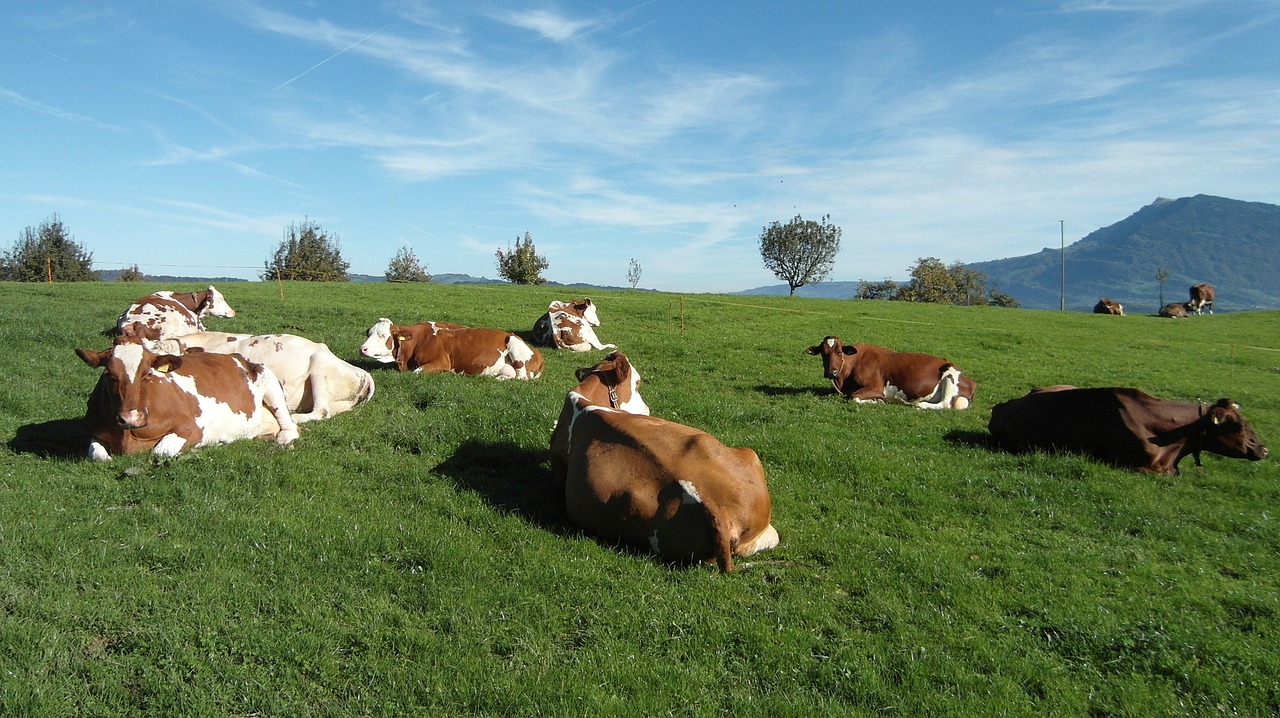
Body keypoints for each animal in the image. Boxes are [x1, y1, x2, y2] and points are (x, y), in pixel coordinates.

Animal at [75, 323, 296, 458]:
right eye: (110, 374)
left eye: (147, 373)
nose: (131, 418)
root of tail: (239, 357)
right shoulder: (95, 432)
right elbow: (98, 455)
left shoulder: (192, 428)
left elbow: (160, 451)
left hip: (270, 383)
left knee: (290, 427)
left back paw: (283, 439)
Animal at [358, 316, 542, 378]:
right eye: (369, 333)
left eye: (383, 335)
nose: (362, 348)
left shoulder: (441, 362)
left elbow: (416, 373)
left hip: (513, 343)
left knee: (522, 377)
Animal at [803, 335, 972, 409]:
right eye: (823, 353)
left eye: (839, 352)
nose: (831, 372)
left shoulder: (877, 387)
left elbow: (853, 396)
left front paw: (877, 401)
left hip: (950, 372)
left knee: (945, 404)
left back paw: (919, 404)